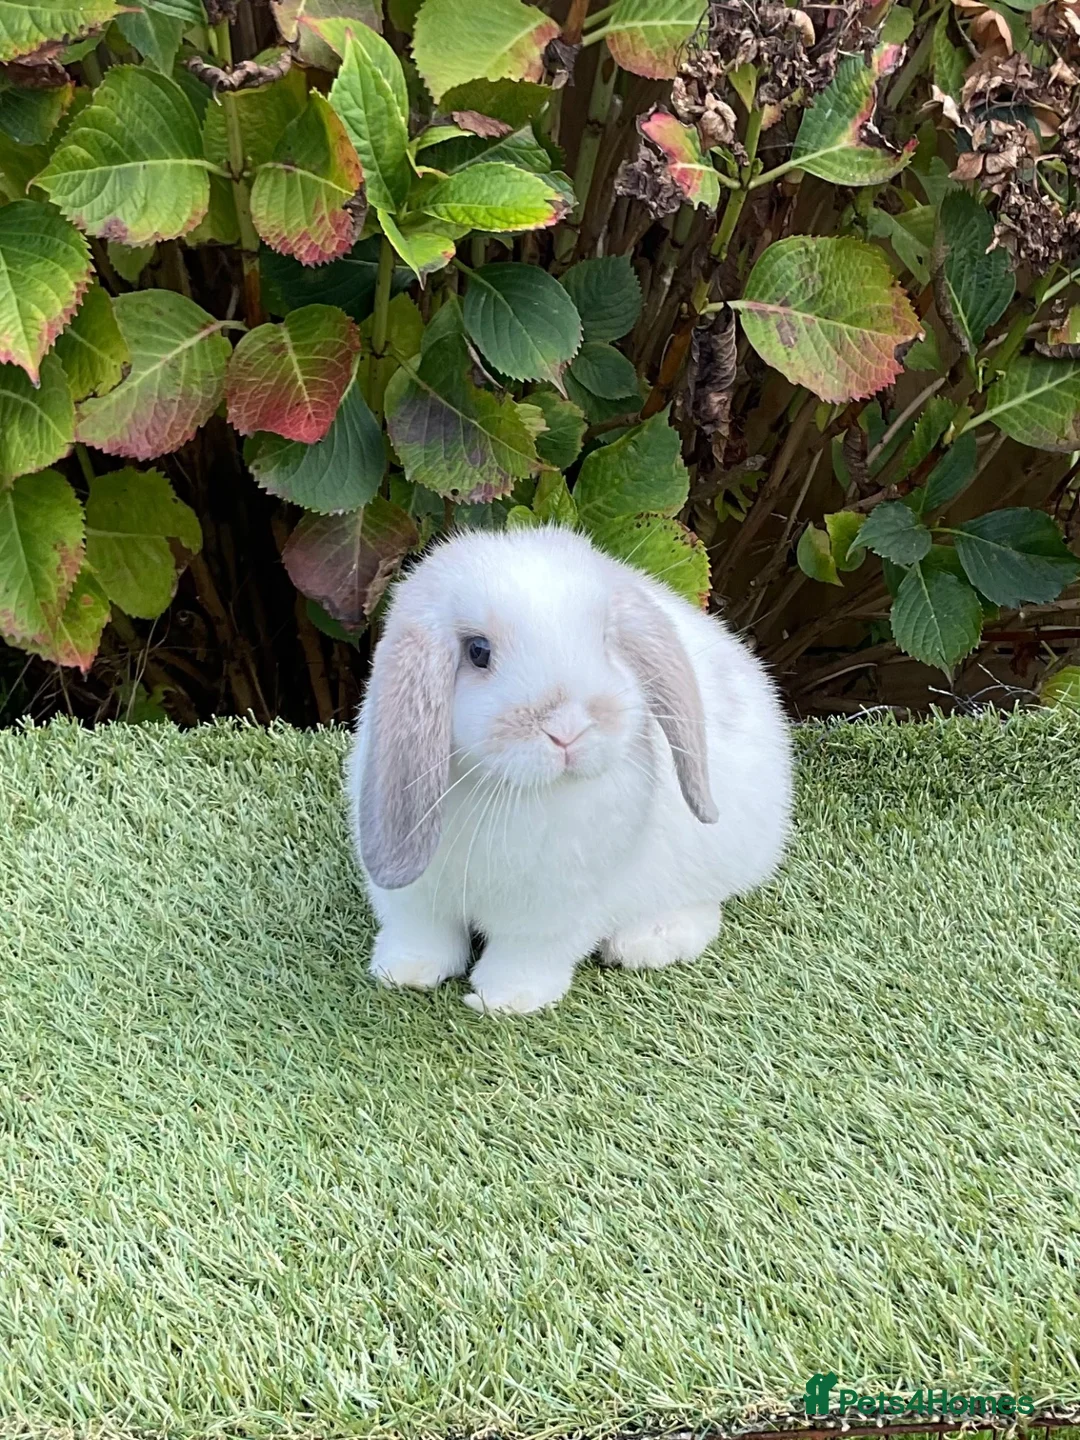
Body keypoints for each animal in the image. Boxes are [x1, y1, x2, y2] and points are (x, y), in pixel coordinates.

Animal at [345, 524, 792, 1015]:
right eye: (478, 651)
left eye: (605, 640)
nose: (568, 730)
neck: (509, 792)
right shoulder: (414, 901)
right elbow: (422, 936)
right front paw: (404, 973)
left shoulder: (552, 913)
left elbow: (526, 955)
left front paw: (506, 1000)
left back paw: (649, 941)